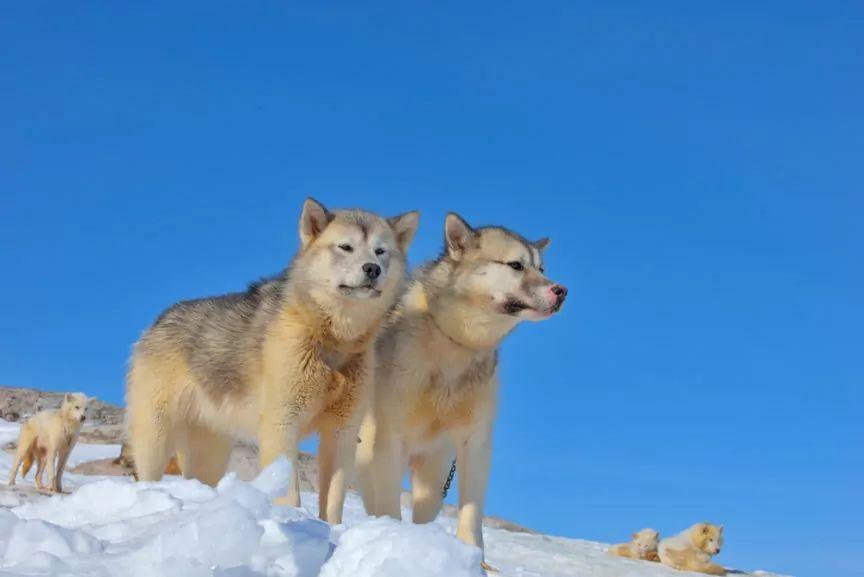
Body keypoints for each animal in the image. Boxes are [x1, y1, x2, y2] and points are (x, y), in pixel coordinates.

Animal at [125, 197, 418, 520]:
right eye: (346, 247)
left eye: (381, 251)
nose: (372, 269)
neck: (331, 340)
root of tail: (157, 321)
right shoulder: (282, 424)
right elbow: (290, 494)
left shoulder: (342, 432)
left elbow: (332, 502)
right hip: (155, 439)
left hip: (211, 454)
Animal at [356, 213, 568, 564]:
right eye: (516, 265)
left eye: (542, 268)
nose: (561, 291)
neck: (456, 345)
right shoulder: (389, 440)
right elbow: (387, 504)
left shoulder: (476, 444)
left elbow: (470, 514)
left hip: (435, 473)